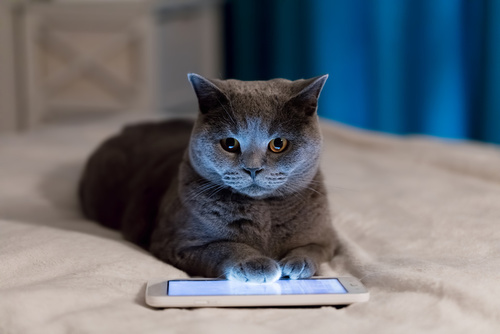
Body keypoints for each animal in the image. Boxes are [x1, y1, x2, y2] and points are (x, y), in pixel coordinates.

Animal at [80, 73, 338, 282]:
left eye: (278, 144)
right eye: (230, 143)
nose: (252, 168)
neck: (264, 214)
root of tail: (128, 127)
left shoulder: (327, 239)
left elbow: (313, 249)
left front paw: (296, 264)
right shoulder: (176, 243)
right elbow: (224, 247)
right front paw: (257, 264)